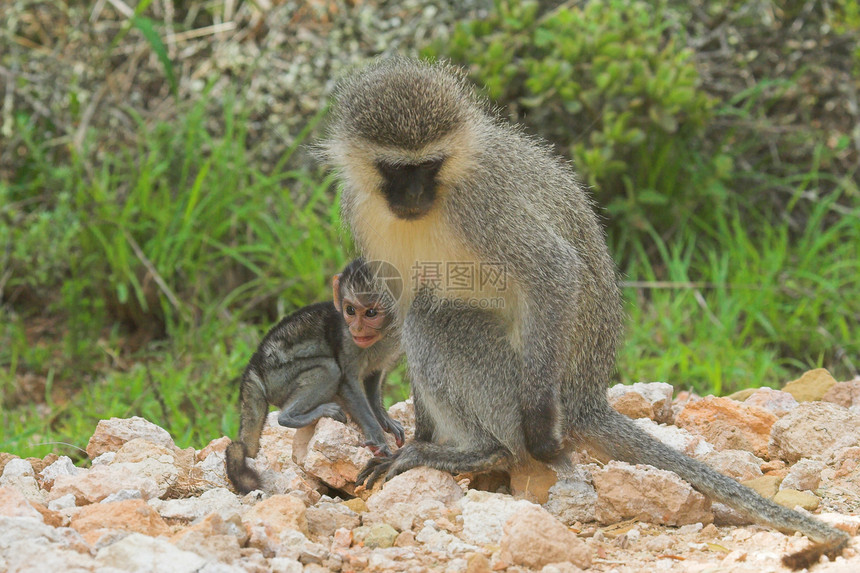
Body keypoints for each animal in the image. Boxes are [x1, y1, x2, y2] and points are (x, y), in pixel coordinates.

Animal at [227, 258, 404, 492]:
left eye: (371, 313)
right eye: (350, 310)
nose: (356, 328)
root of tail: (254, 367)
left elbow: (373, 377)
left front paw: (384, 419)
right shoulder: (347, 340)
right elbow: (347, 381)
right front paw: (378, 439)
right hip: (278, 377)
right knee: (329, 369)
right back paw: (295, 415)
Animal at [320, 58, 848, 568]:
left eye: (429, 165)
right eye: (394, 169)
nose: (412, 197)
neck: (436, 200)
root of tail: (584, 398)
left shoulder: (483, 202)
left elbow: (553, 270)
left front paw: (534, 427)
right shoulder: (362, 210)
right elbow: (404, 301)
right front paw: (418, 433)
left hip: (509, 378)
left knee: (434, 318)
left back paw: (486, 450)